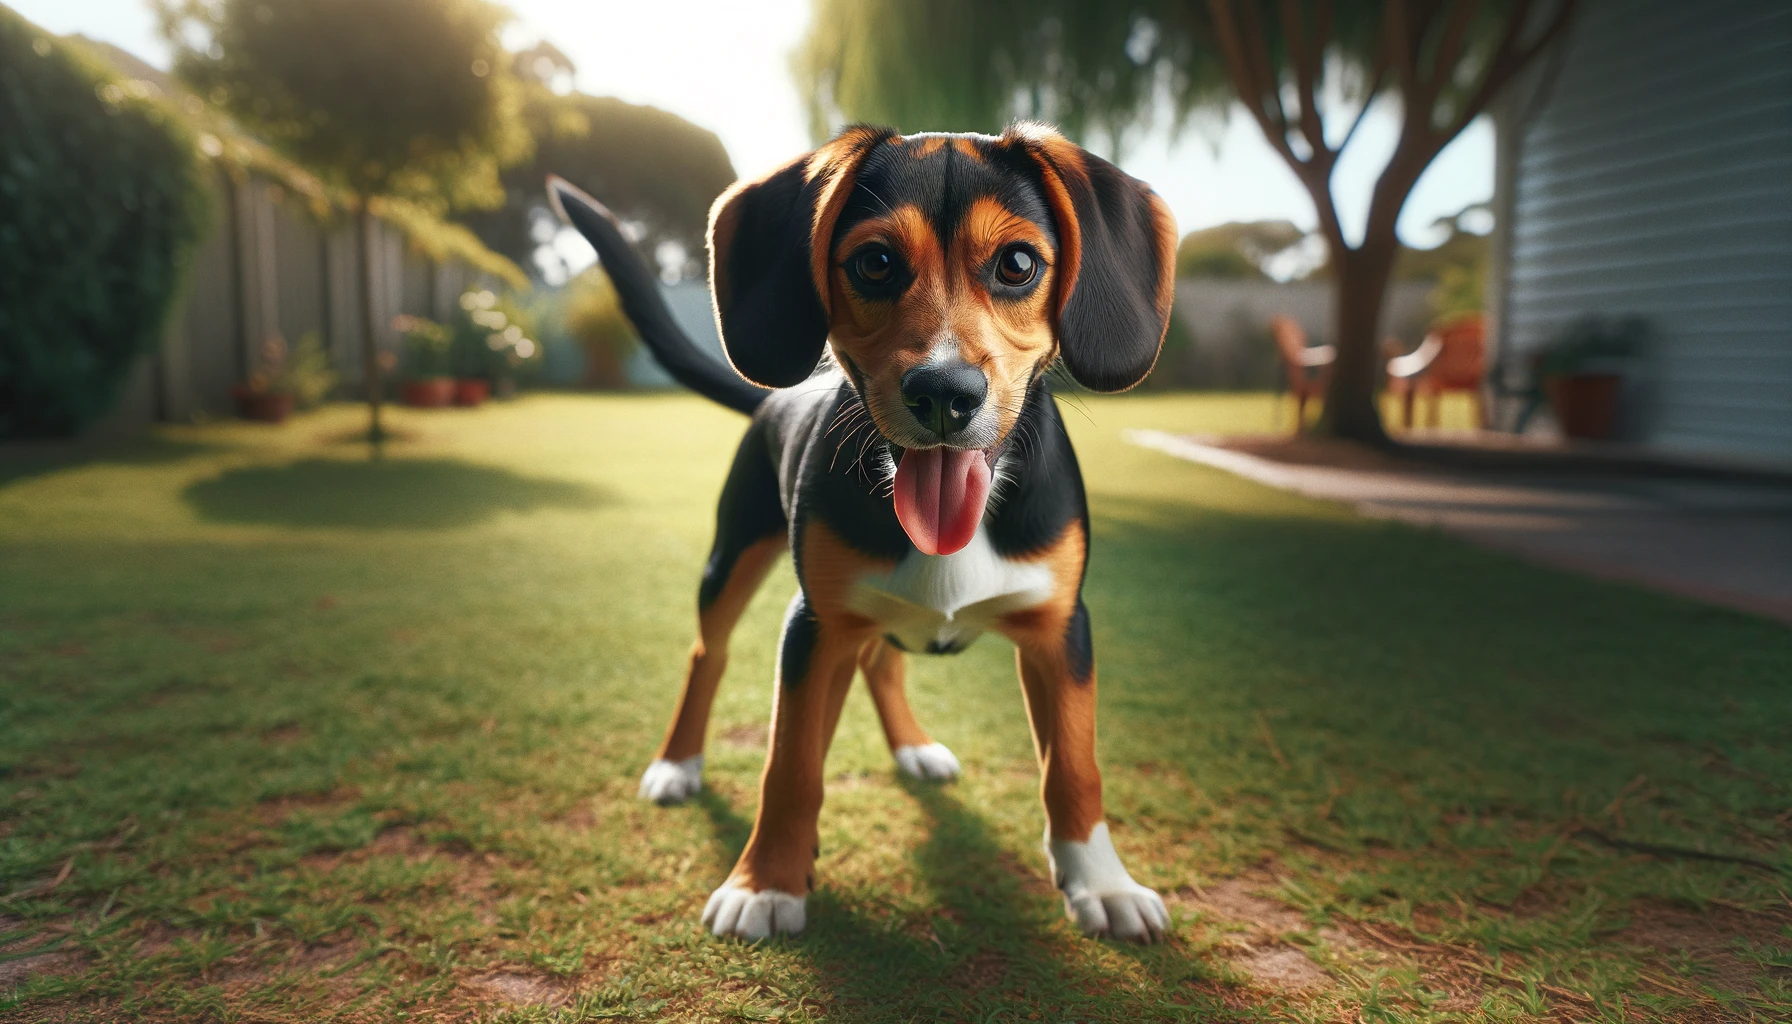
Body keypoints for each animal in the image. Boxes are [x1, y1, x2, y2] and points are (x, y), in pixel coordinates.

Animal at [551, 121, 1182, 946]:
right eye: (875, 262)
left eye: (1017, 264)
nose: (944, 393)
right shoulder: (814, 626)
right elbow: (789, 766)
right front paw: (766, 883)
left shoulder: (1060, 629)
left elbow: (1074, 767)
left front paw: (1102, 884)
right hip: (734, 559)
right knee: (707, 654)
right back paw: (678, 764)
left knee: (882, 662)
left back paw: (912, 749)